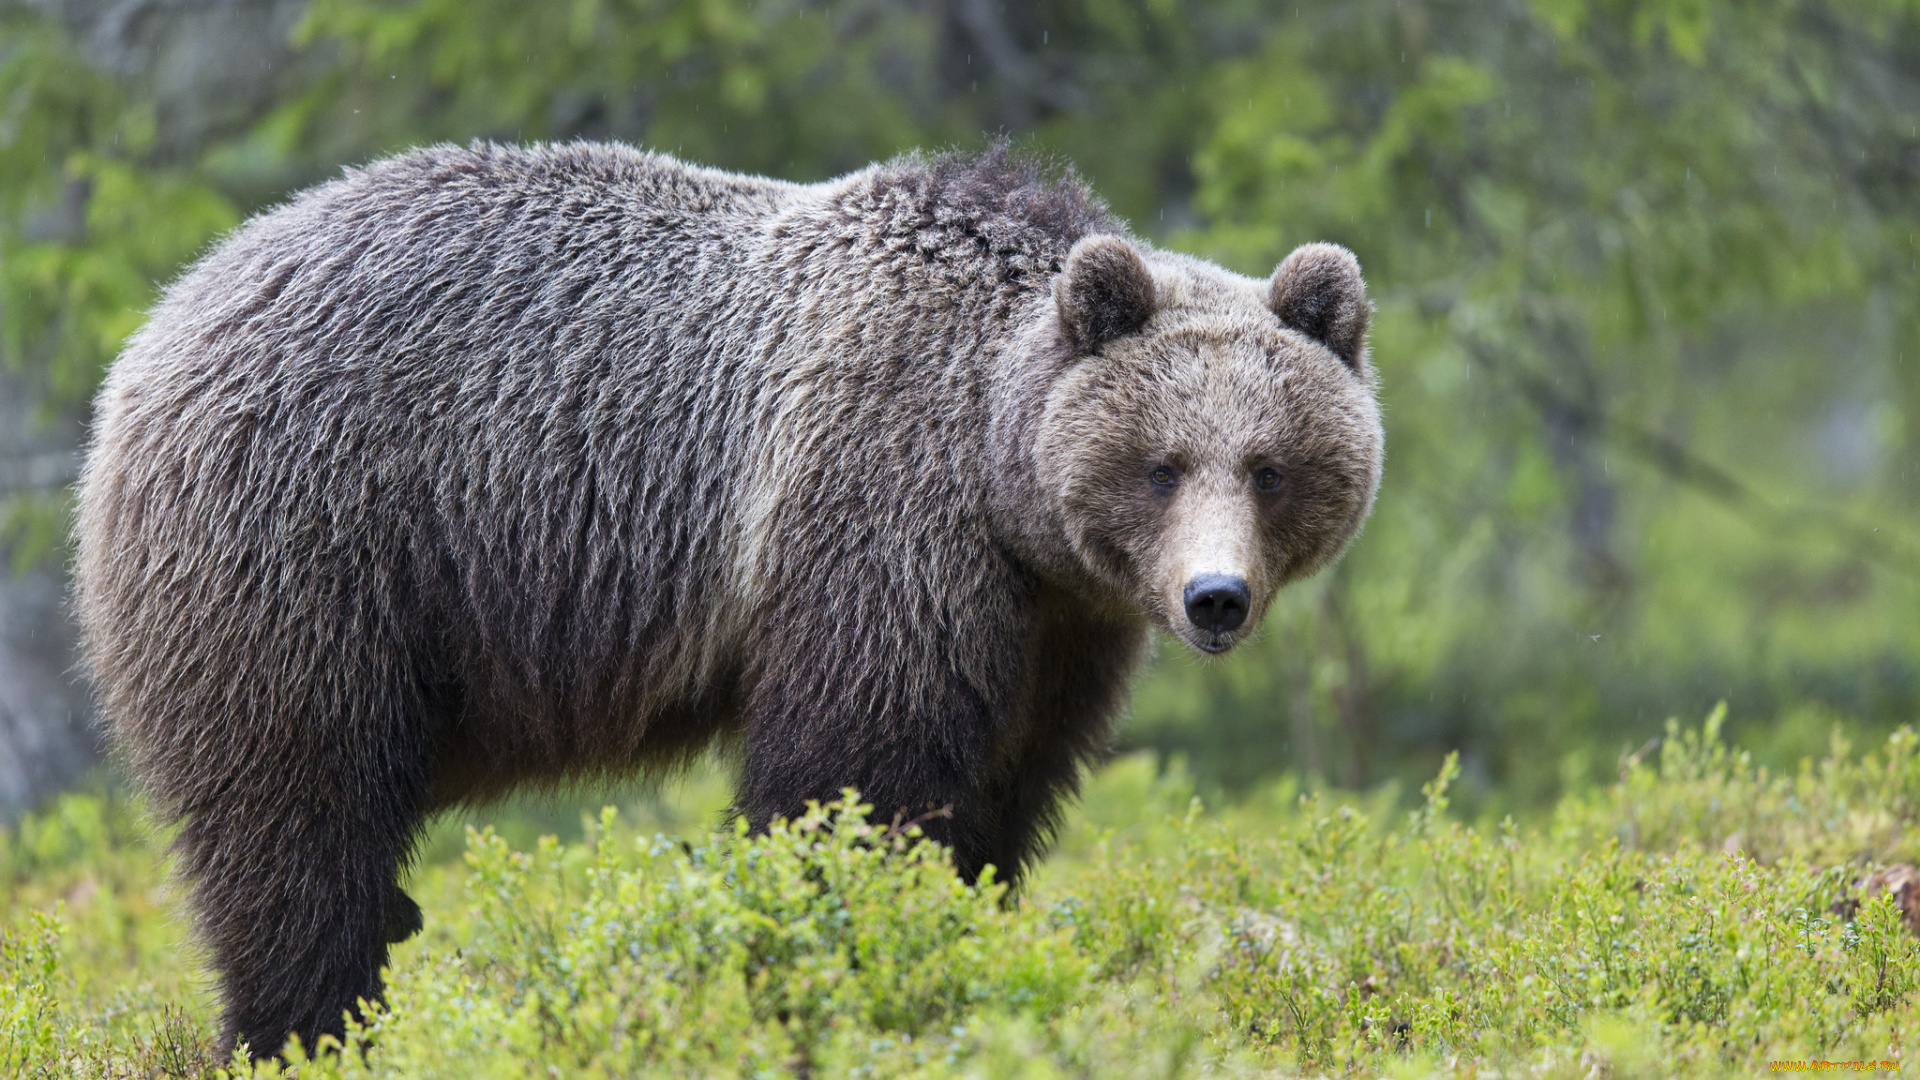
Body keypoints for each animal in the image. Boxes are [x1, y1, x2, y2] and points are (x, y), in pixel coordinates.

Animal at [71, 141, 1382, 1053]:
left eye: (1269, 464)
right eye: (1163, 464)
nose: (1214, 599)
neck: (999, 484)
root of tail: (168, 315)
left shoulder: (1055, 630)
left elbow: (1001, 792)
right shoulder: (875, 522)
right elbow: (852, 779)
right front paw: (830, 959)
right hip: (310, 548)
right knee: (298, 817)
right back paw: (305, 1027)